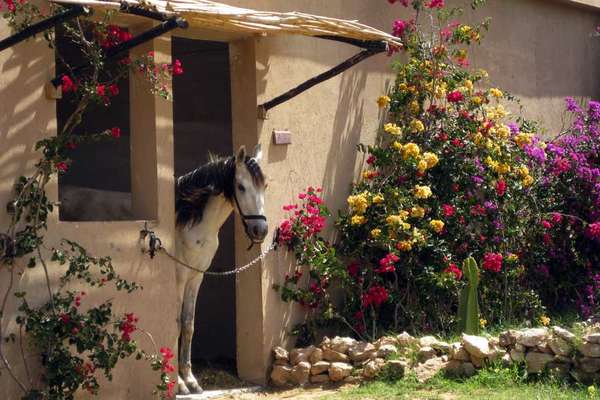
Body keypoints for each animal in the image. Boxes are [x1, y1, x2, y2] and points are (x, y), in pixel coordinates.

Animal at [173, 145, 268, 396]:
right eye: (241, 186)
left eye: (264, 186)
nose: (261, 229)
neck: (188, 221)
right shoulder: (178, 279)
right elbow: (174, 325)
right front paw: (177, 383)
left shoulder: (195, 277)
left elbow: (188, 325)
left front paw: (190, 380)